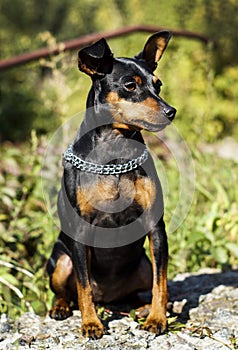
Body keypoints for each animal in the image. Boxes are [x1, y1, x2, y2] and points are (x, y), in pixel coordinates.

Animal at [47, 32, 177, 340]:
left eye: (158, 85)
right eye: (130, 85)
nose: (171, 111)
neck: (114, 155)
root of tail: (109, 299)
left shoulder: (156, 228)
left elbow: (161, 283)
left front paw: (157, 319)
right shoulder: (80, 232)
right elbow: (83, 286)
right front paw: (91, 324)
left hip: (143, 264)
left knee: (142, 290)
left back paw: (143, 308)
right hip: (60, 261)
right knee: (69, 291)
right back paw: (61, 307)